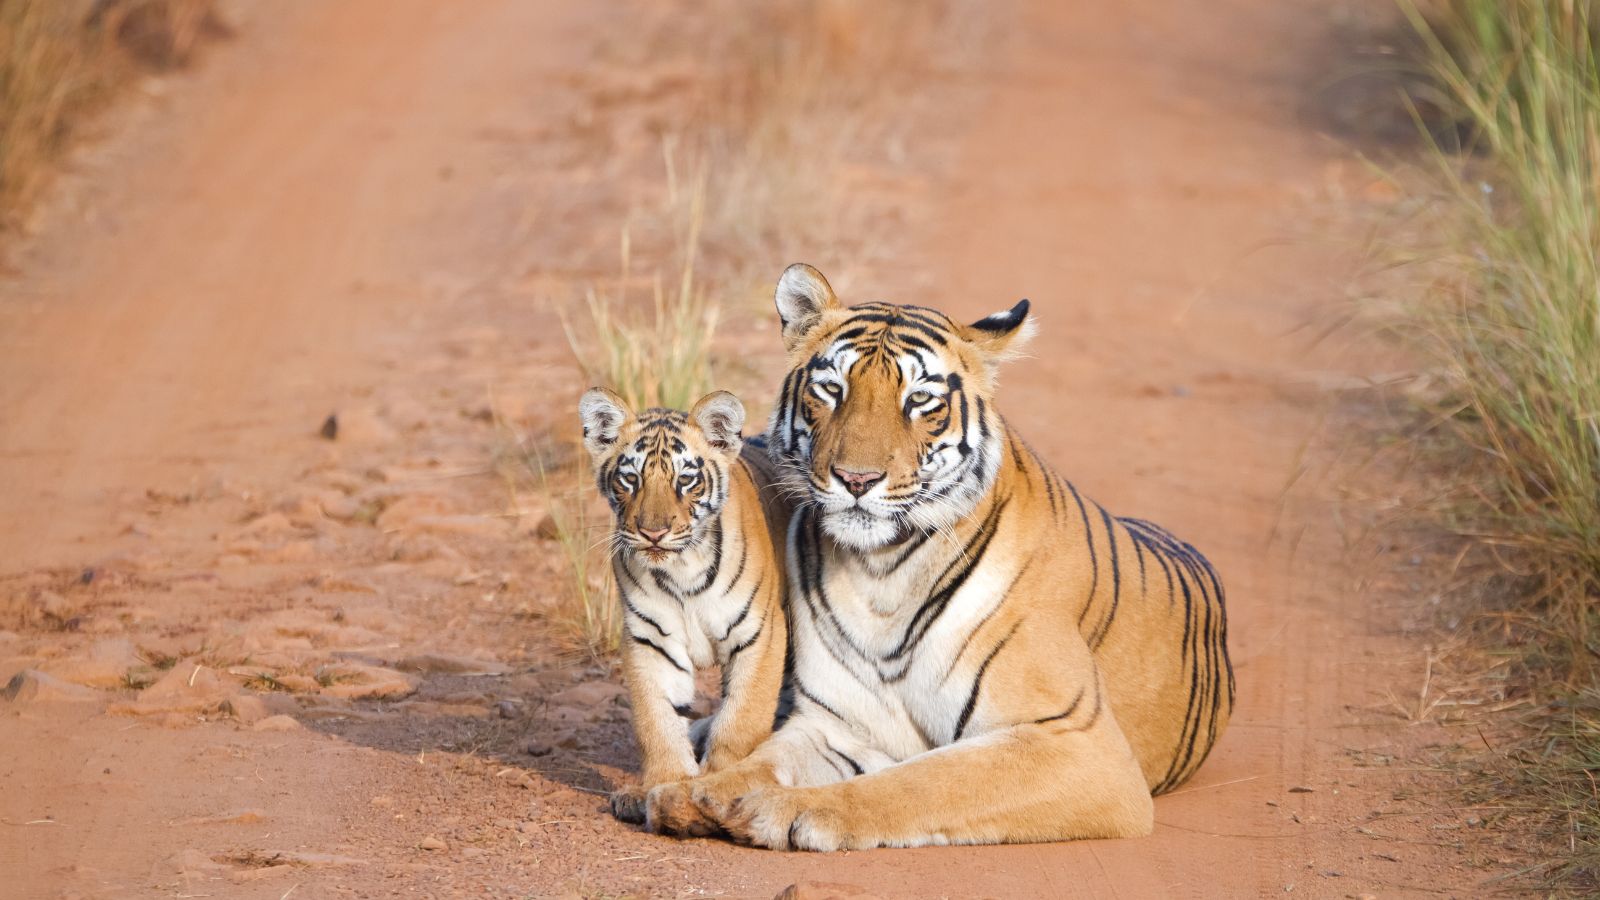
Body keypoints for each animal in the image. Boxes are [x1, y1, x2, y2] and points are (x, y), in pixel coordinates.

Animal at [578, 388, 790, 825]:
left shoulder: (761, 634)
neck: (681, 571)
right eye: (631, 478)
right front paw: (664, 785)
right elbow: (656, 720)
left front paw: (715, 784)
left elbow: (741, 719)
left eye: (685, 480)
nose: (653, 532)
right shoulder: (651, 640)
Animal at [645, 264, 1234, 850]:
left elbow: (922, 782)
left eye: (920, 401)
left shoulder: (1078, 743)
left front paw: (781, 810)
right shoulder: (839, 727)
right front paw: (690, 794)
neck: (881, 573)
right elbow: (763, 759)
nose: (856, 479)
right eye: (832, 390)